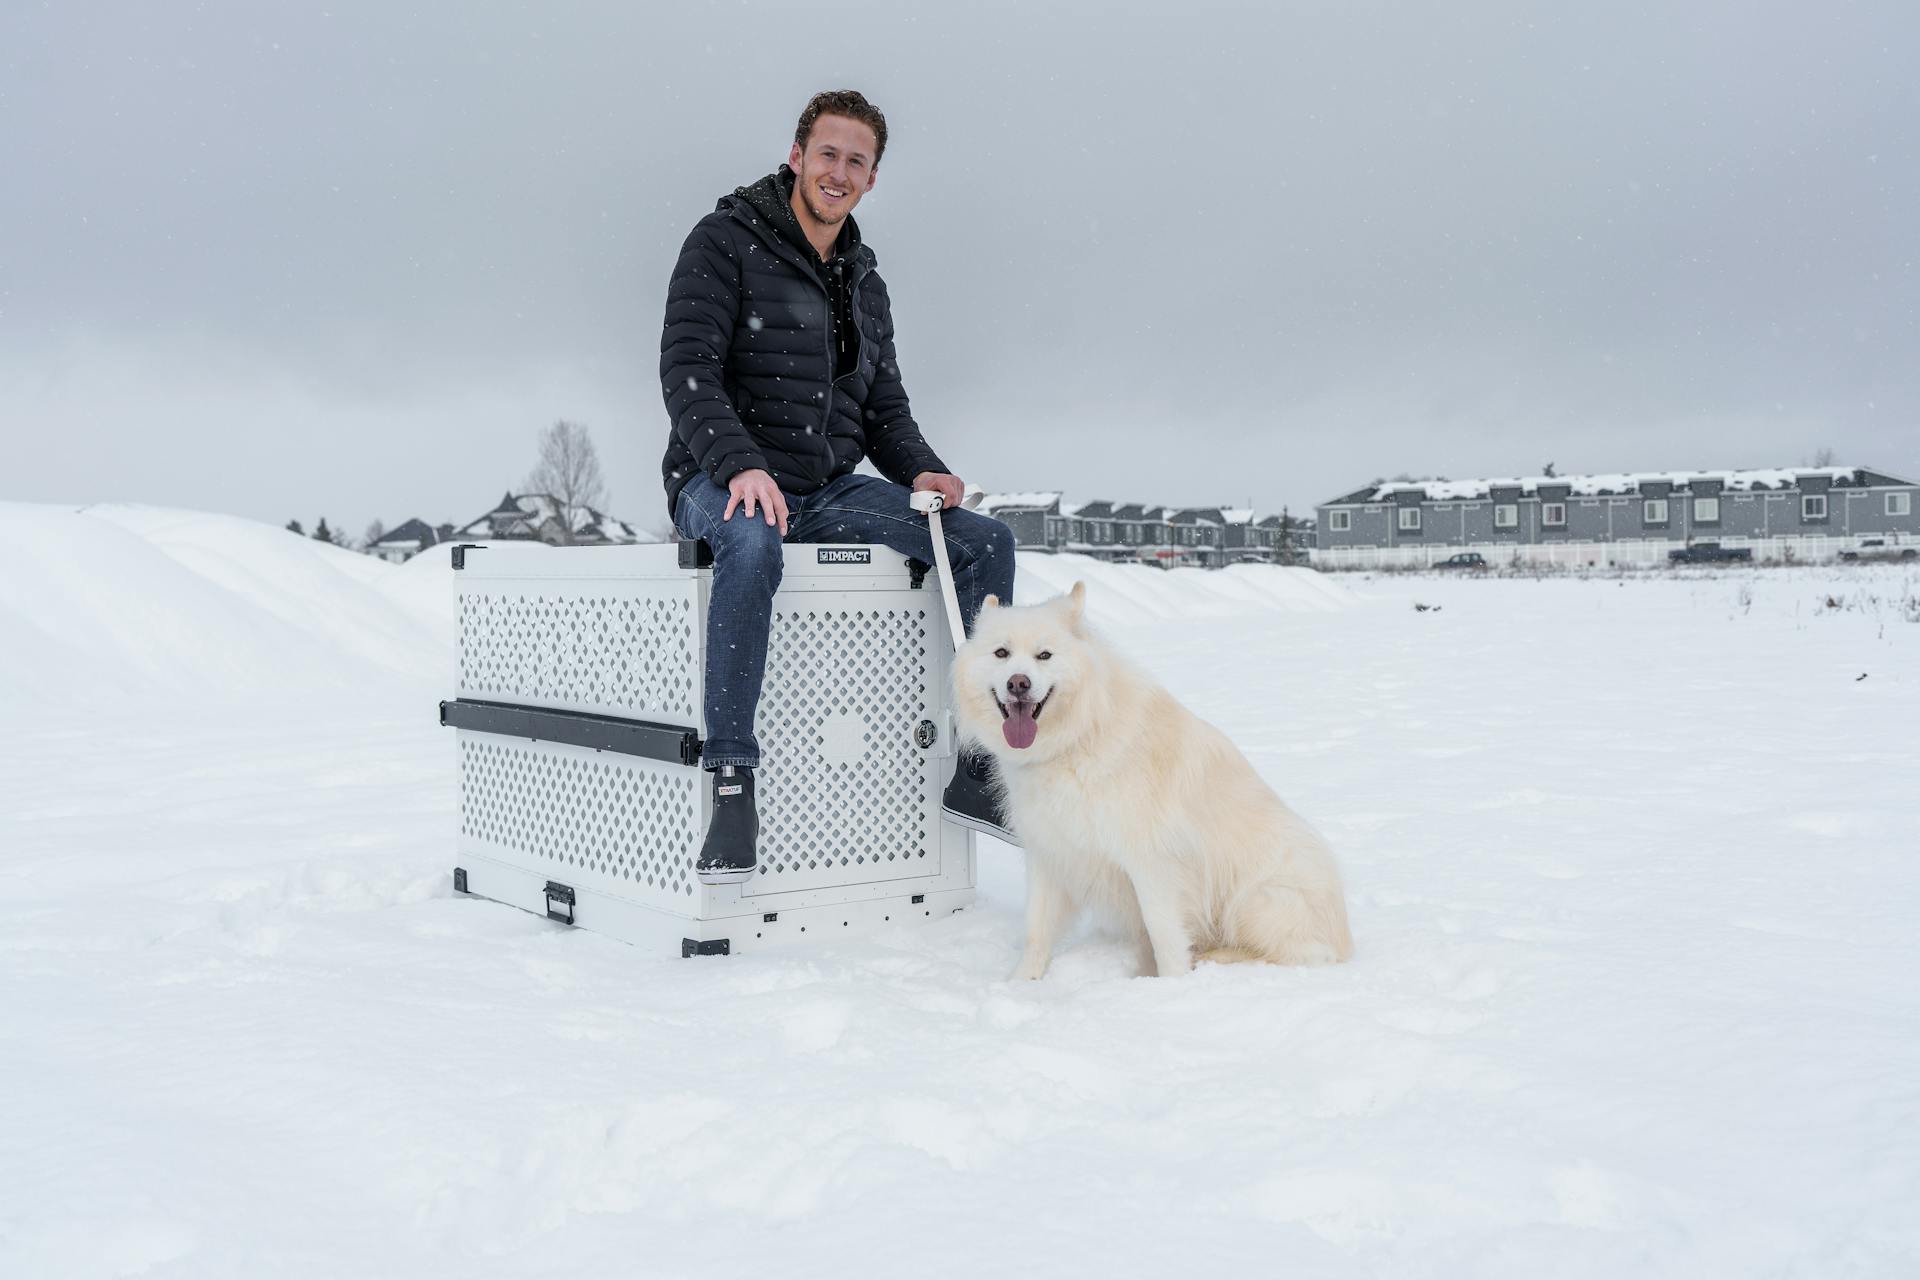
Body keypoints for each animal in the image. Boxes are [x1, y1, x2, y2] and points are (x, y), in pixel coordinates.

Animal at [956, 583, 1351, 982]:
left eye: (1044, 655)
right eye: (1001, 653)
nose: (1018, 684)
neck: (1078, 739)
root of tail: (1344, 937)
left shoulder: (1152, 862)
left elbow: (1164, 934)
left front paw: (1171, 984)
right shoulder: (1051, 851)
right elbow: (1036, 930)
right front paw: (1021, 982)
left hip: (1255, 899)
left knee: (1303, 954)